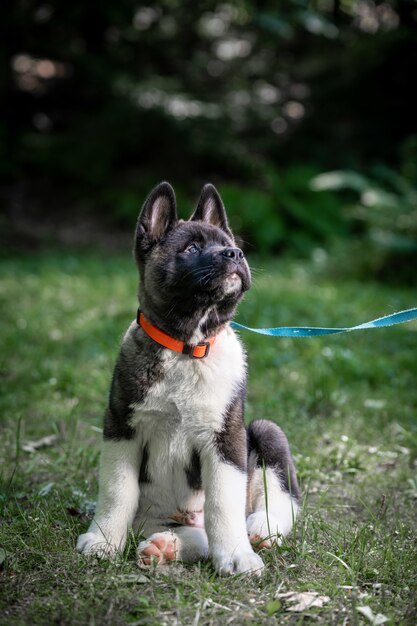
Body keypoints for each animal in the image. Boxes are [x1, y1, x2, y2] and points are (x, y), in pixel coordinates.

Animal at [76, 179, 300, 572]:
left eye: (230, 244)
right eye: (192, 248)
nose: (234, 254)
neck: (187, 348)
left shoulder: (225, 438)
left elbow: (223, 503)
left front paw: (237, 555)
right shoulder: (121, 428)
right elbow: (117, 490)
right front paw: (103, 541)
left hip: (266, 432)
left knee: (278, 502)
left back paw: (260, 528)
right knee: (200, 537)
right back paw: (165, 546)